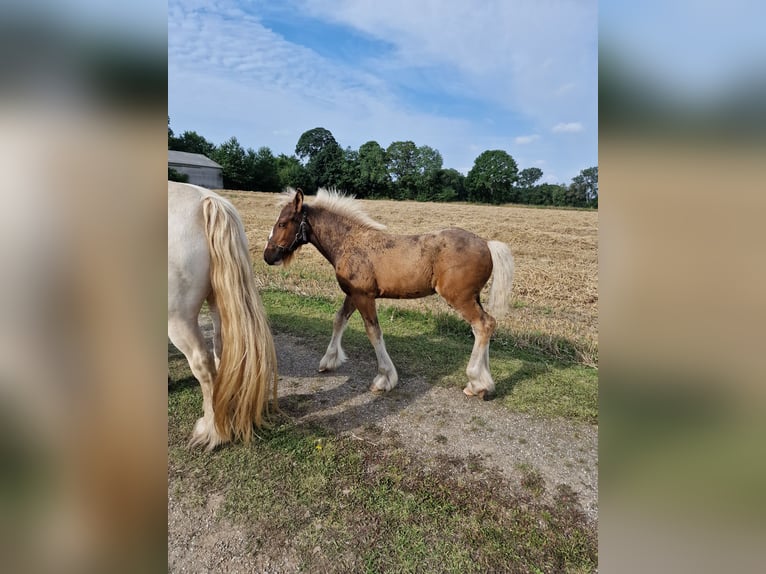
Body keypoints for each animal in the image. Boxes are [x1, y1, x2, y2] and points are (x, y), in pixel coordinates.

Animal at [263, 188, 514, 399]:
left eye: (283, 223)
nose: (268, 256)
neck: (350, 242)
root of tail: (486, 243)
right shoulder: (353, 294)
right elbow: (339, 320)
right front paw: (329, 361)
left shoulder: (364, 297)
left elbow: (373, 332)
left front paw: (384, 378)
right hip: (473, 298)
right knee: (484, 326)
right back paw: (482, 381)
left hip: (460, 298)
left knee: (483, 325)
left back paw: (477, 383)